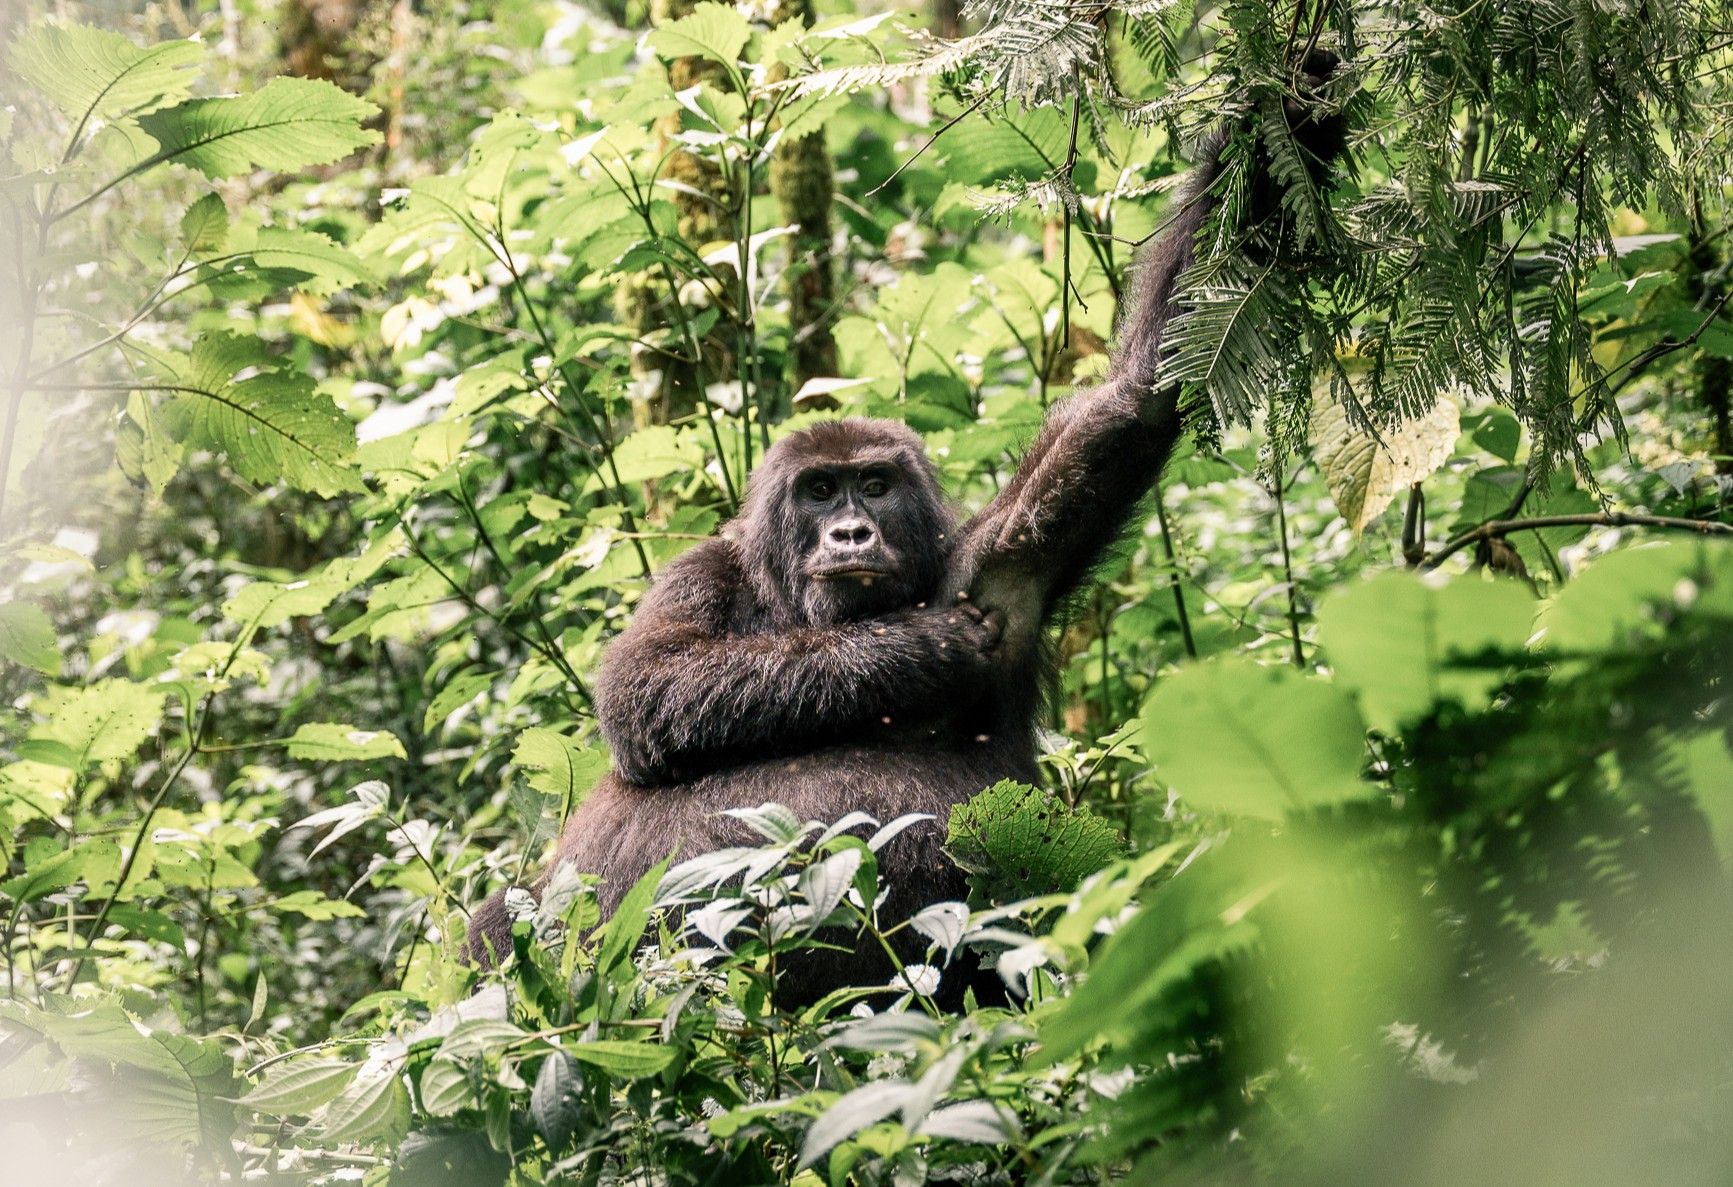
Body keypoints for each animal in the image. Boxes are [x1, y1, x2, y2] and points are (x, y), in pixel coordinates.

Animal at [466, 53, 1350, 1002]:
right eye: (819, 491)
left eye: (876, 485)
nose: (851, 534)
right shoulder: (699, 573)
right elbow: (646, 687)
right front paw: (913, 650)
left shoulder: (995, 561)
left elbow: (1140, 394)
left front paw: (1303, 80)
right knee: (497, 922)